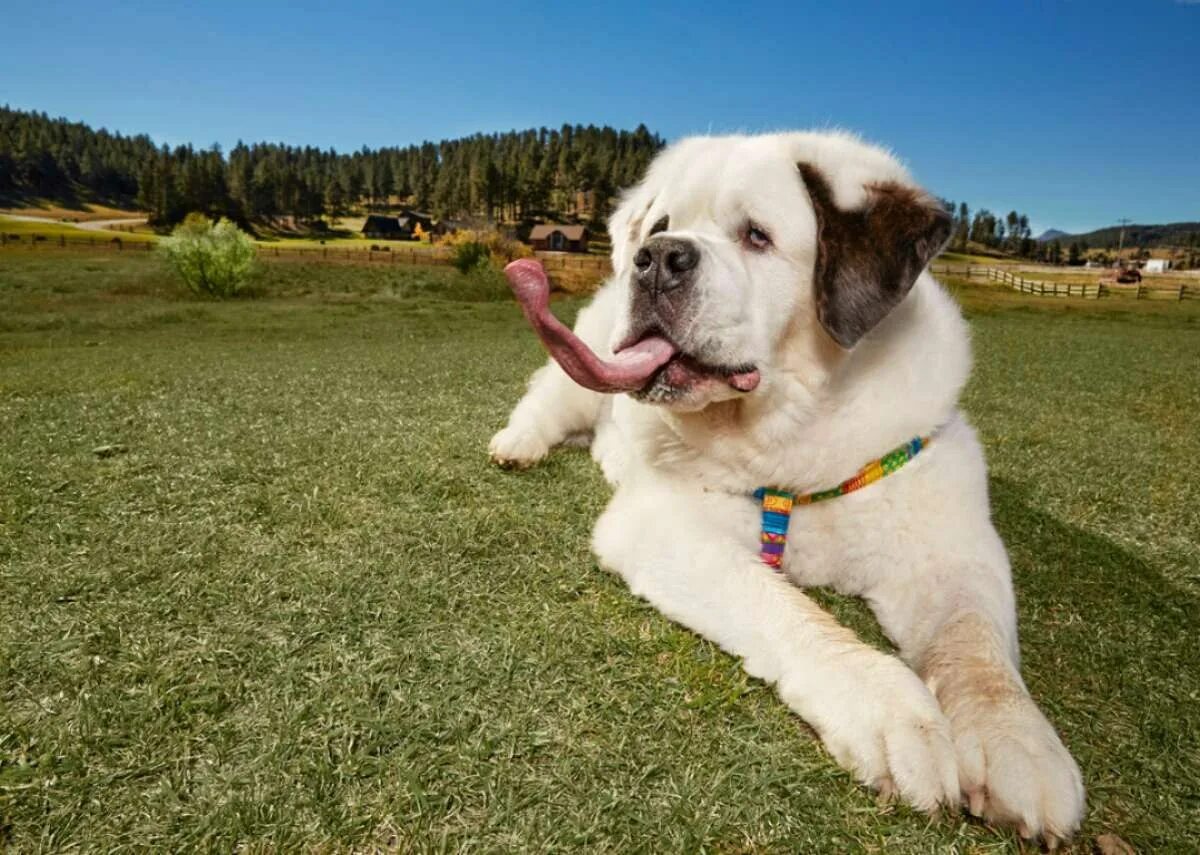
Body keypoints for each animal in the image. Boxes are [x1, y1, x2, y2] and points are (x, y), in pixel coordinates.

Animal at [487, 130, 1089, 845]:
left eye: (757, 236)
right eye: (661, 225)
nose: (655, 257)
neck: (801, 429)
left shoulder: (947, 542)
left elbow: (976, 644)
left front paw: (1018, 745)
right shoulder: (663, 525)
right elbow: (788, 609)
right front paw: (892, 710)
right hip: (580, 368)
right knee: (546, 400)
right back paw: (516, 445)